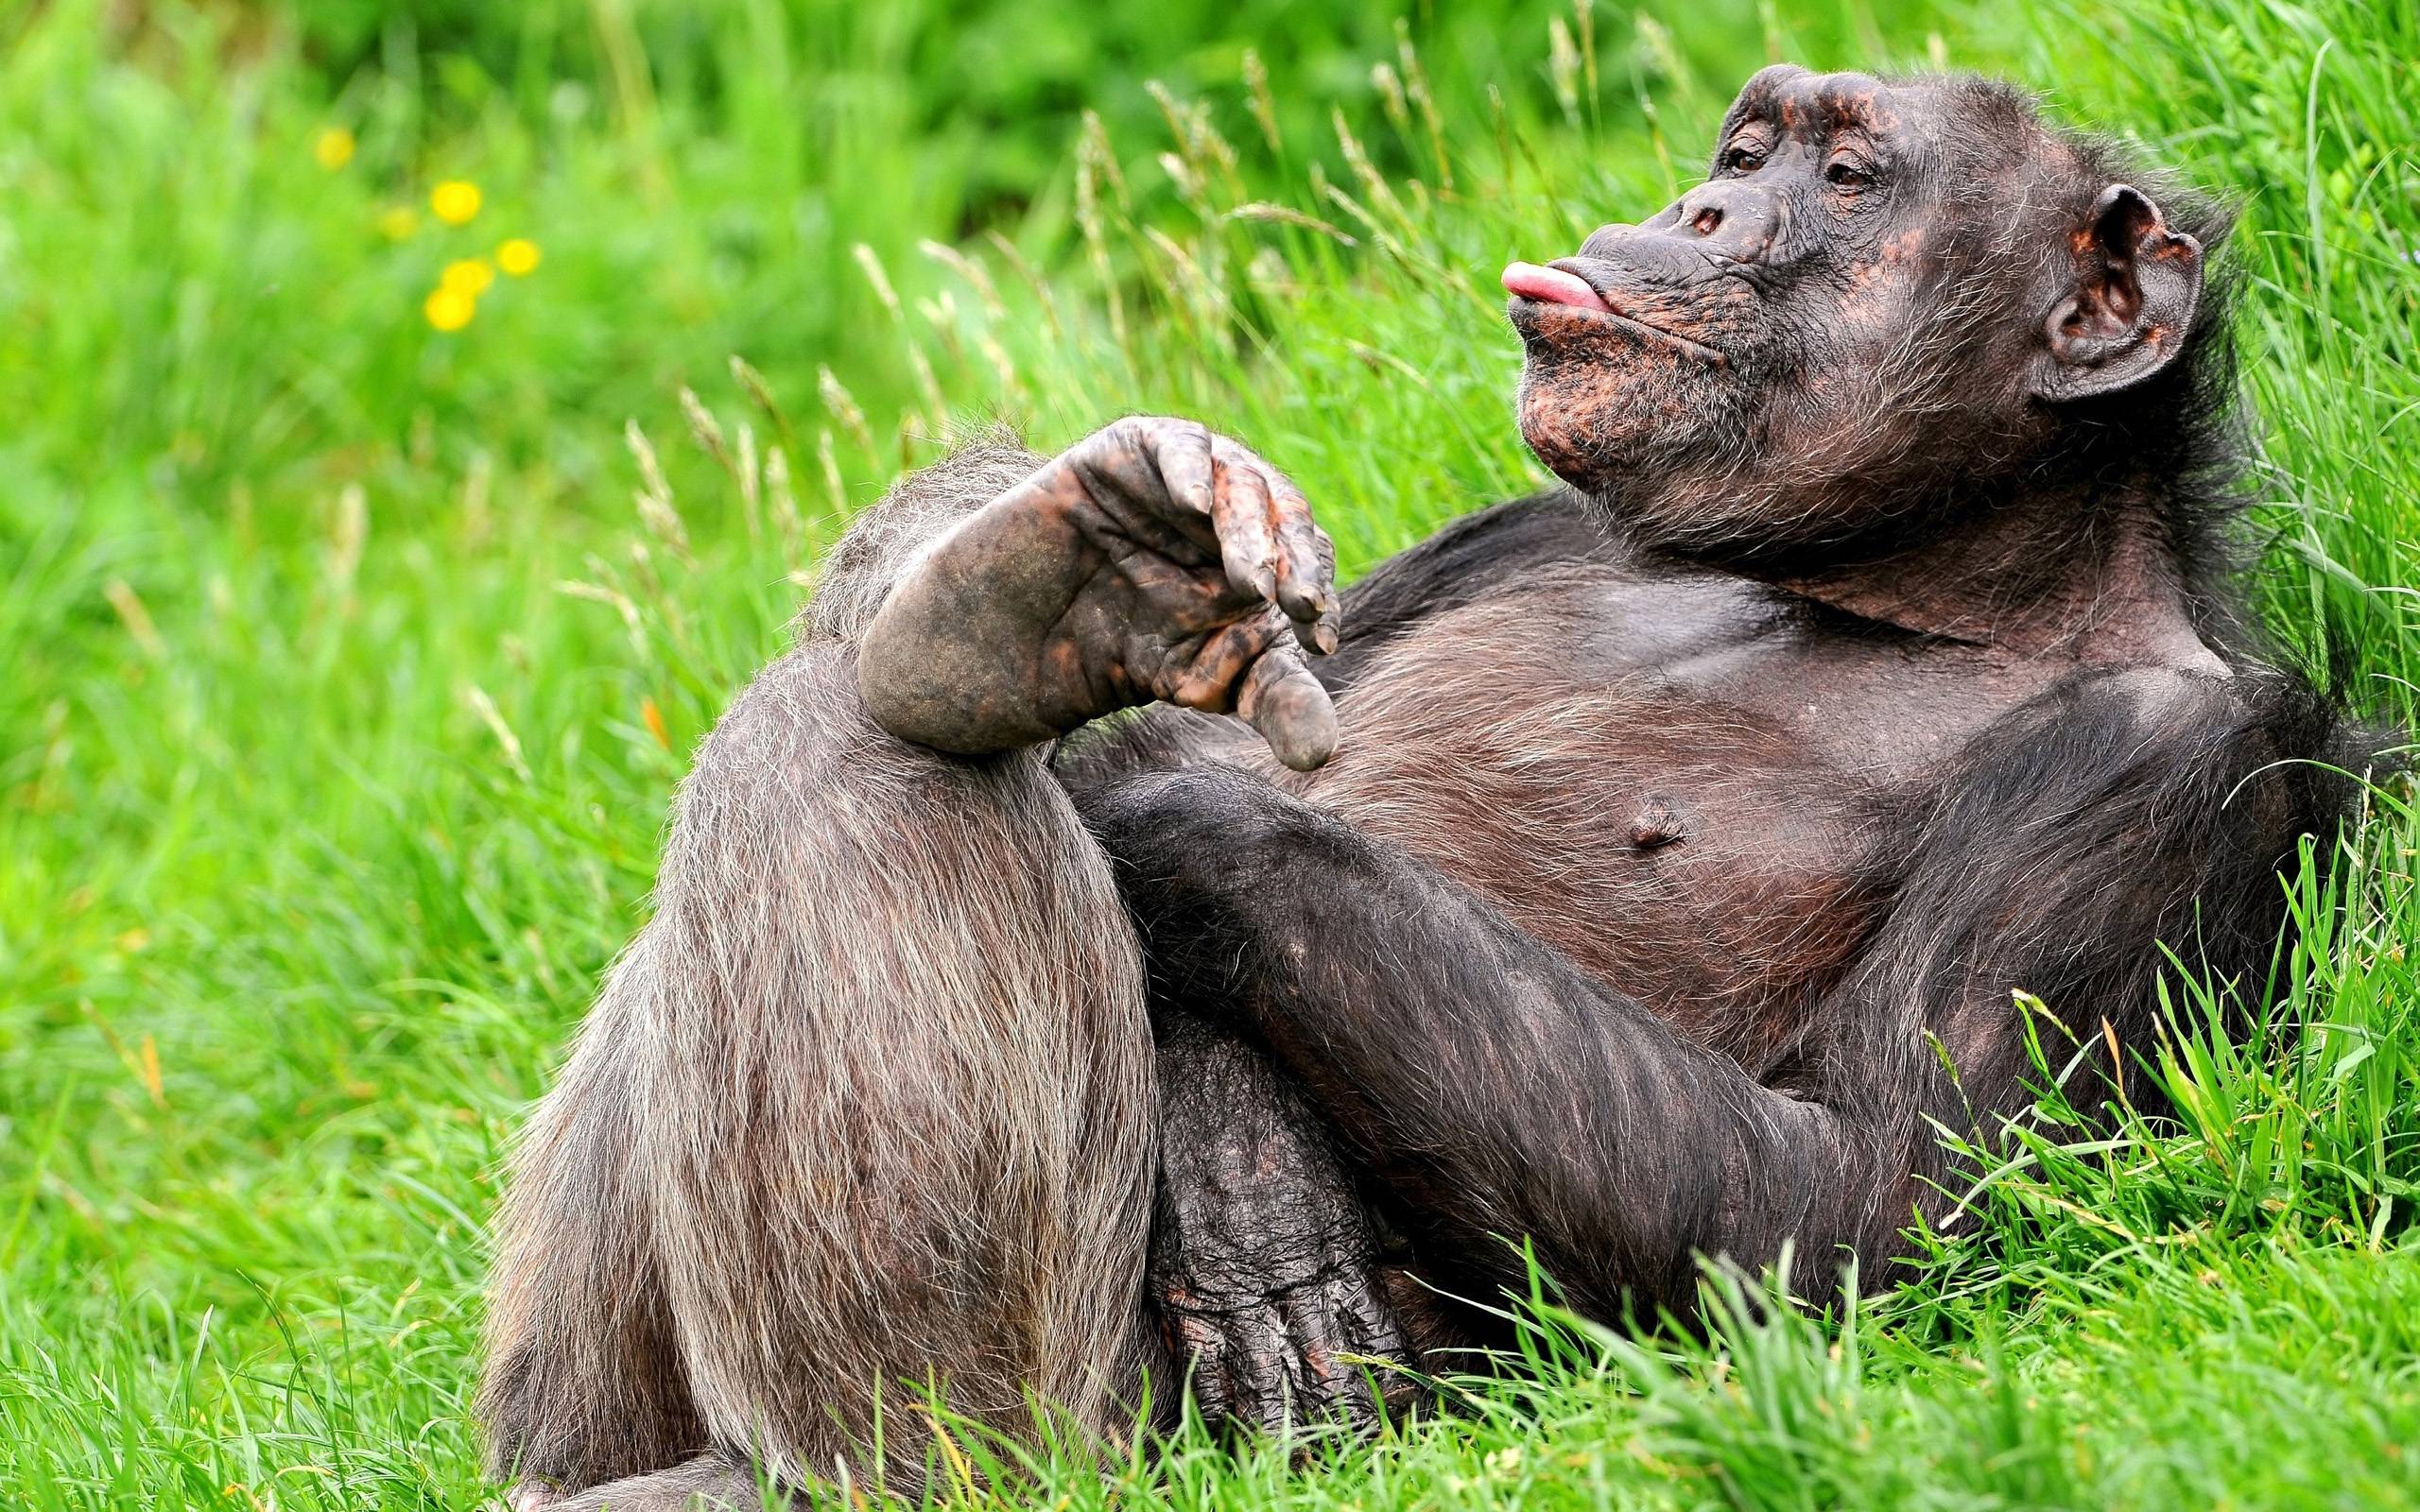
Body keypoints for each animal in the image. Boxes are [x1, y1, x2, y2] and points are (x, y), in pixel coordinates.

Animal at [478, 66, 2374, 1510]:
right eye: (1741, 153)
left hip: (1119, 1441)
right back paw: (1014, 612)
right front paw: (1106, 567)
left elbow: (1857, 1210)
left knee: (859, 761)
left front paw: (1184, 871)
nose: (1698, 213)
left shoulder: (2160, 775)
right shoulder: (1516, 528)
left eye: (1844, 180)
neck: (1887, 588)